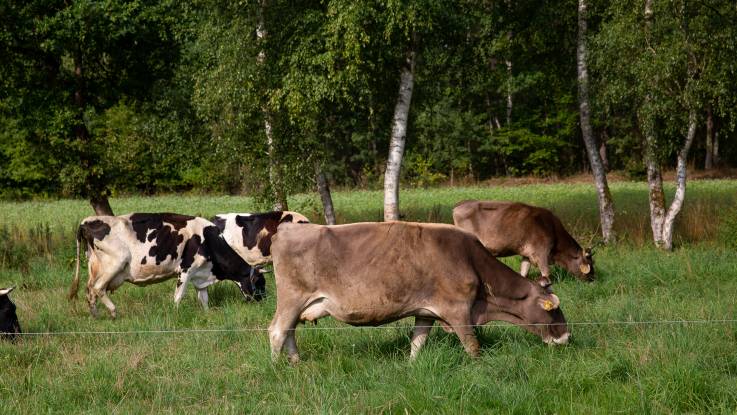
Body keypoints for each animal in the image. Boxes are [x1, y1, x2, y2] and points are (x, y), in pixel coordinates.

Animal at [67, 214, 266, 318]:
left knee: (89, 290)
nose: (264, 300)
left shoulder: (201, 274)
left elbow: (204, 299)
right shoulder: (186, 270)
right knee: (98, 288)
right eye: (261, 283)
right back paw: (113, 312)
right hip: (115, 263)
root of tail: (88, 220)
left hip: (94, 266)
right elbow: (178, 296)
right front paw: (175, 314)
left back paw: (95, 316)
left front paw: (207, 314)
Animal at [268, 223, 568, 362]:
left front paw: (411, 365)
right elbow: (472, 345)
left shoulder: (426, 311)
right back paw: (277, 367)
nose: (566, 337)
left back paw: (296, 362)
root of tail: (286, 227)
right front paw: (479, 367)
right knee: (277, 331)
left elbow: (418, 341)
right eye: (554, 311)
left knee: (290, 331)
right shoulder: (458, 310)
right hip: (292, 298)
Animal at [452, 201, 596, 282]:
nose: (593, 279)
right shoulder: (541, 253)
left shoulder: (527, 254)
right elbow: (546, 274)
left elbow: (524, 272)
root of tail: (459, 205)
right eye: (590, 262)